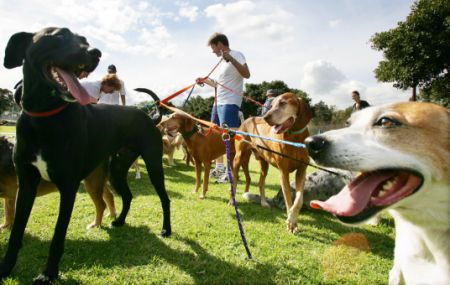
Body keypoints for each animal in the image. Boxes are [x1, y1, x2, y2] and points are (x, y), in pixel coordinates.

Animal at [2, 27, 171, 282]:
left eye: (85, 40)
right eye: (58, 35)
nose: (95, 52)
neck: (44, 116)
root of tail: (149, 116)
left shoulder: (68, 187)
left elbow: (57, 237)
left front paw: (48, 274)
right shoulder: (26, 184)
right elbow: (16, 233)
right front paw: (6, 268)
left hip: (152, 166)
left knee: (164, 198)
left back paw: (166, 229)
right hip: (116, 170)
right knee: (128, 196)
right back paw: (120, 221)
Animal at [234, 92, 312, 232]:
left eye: (283, 103)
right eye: (271, 105)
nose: (265, 117)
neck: (294, 137)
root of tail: (247, 120)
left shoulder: (301, 171)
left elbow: (298, 200)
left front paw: (293, 219)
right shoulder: (283, 172)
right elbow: (288, 199)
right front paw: (290, 222)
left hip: (263, 164)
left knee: (261, 182)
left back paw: (264, 202)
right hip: (238, 158)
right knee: (235, 179)